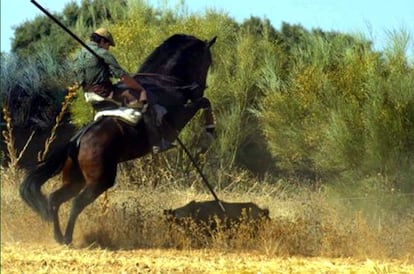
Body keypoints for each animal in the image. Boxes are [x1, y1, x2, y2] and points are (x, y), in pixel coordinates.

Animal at [20, 33, 217, 245]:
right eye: (207, 61)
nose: (199, 88)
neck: (163, 84)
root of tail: (76, 142)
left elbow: (203, 102)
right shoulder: (178, 118)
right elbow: (204, 102)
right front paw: (210, 130)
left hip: (75, 180)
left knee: (54, 199)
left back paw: (58, 237)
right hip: (100, 181)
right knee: (76, 203)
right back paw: (67, 238)